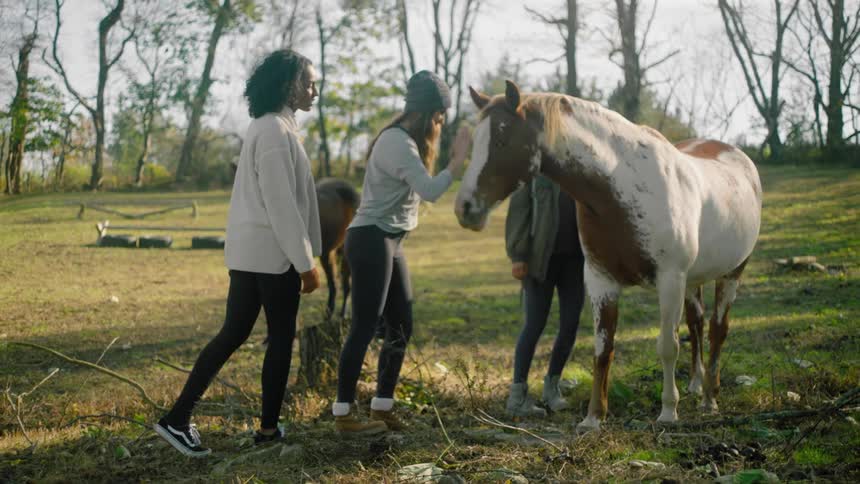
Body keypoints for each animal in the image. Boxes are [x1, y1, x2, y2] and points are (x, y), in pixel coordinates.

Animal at [455, 81, 762, 431]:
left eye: (502, 139)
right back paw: (697, 385)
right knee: (696, 323)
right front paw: (592, 418)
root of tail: (740, 158)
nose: (464, 208)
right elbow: (603, 350)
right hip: (693, 279)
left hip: (732, 273)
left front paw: (668, 411)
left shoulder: (669, 280)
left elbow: (667, 346)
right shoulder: (602, 280)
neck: (624, 184)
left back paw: (710, 396)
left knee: (716, 329)